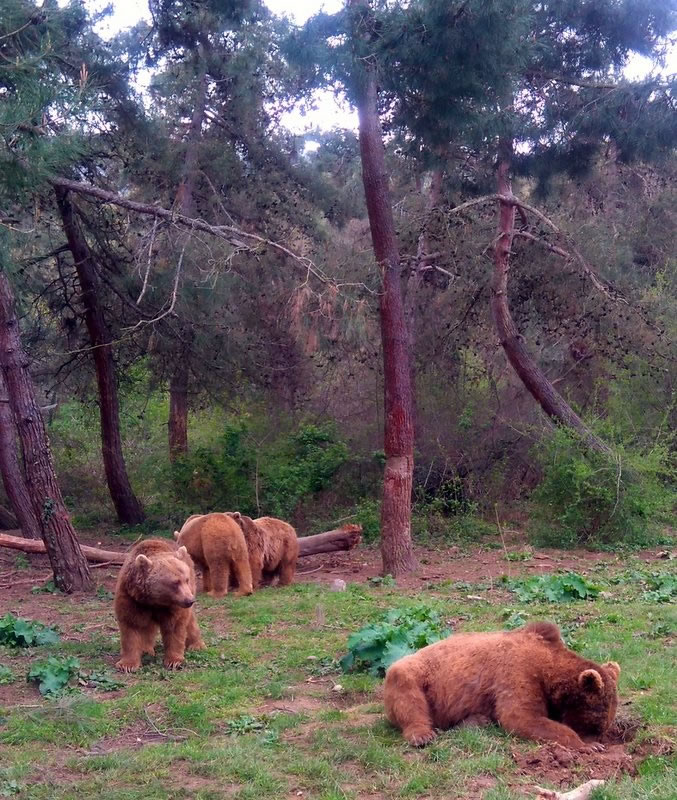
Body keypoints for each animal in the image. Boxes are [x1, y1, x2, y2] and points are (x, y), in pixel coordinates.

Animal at [113, 536, 205, 676]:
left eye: (186, 579)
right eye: (175, 583)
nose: (190, 600)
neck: (154, 600)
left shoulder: (173, 606)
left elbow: (174, 627)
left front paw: (173, 661)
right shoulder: (131, 599)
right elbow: (130, 628)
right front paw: (127, 664)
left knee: (190, 621)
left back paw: (197, 645)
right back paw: (146, 649)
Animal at [382, 620, 620, 752]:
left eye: (603, 725)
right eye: (595, 724)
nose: (600, 739)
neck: (547, 666)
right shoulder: (518, 673)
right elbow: (521, 717)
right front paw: (587, 746)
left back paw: (477, 720)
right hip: (419, 674)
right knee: (406, 689)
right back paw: (422, 735)